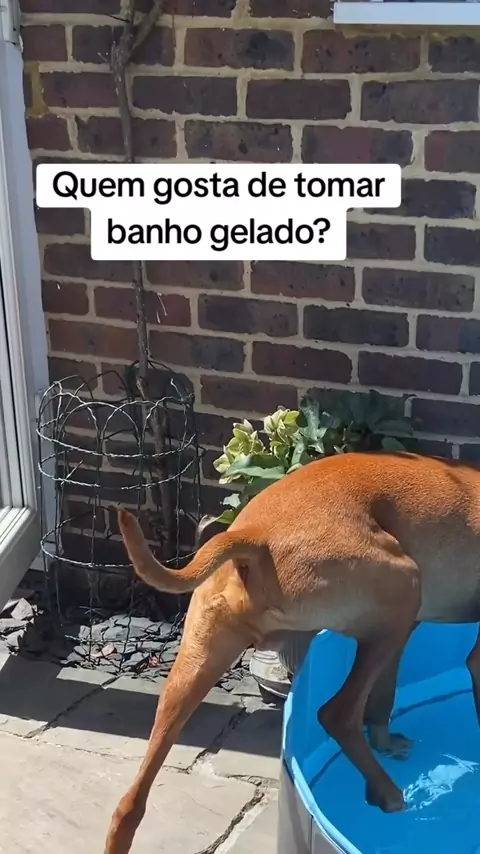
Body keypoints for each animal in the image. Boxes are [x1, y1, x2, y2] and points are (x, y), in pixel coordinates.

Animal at [104, 451, 480, 853]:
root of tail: (256, 533)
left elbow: (384, 697)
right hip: (402, 587)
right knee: (338, 713)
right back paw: (388, 794)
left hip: (200, 658)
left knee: (130, 803)